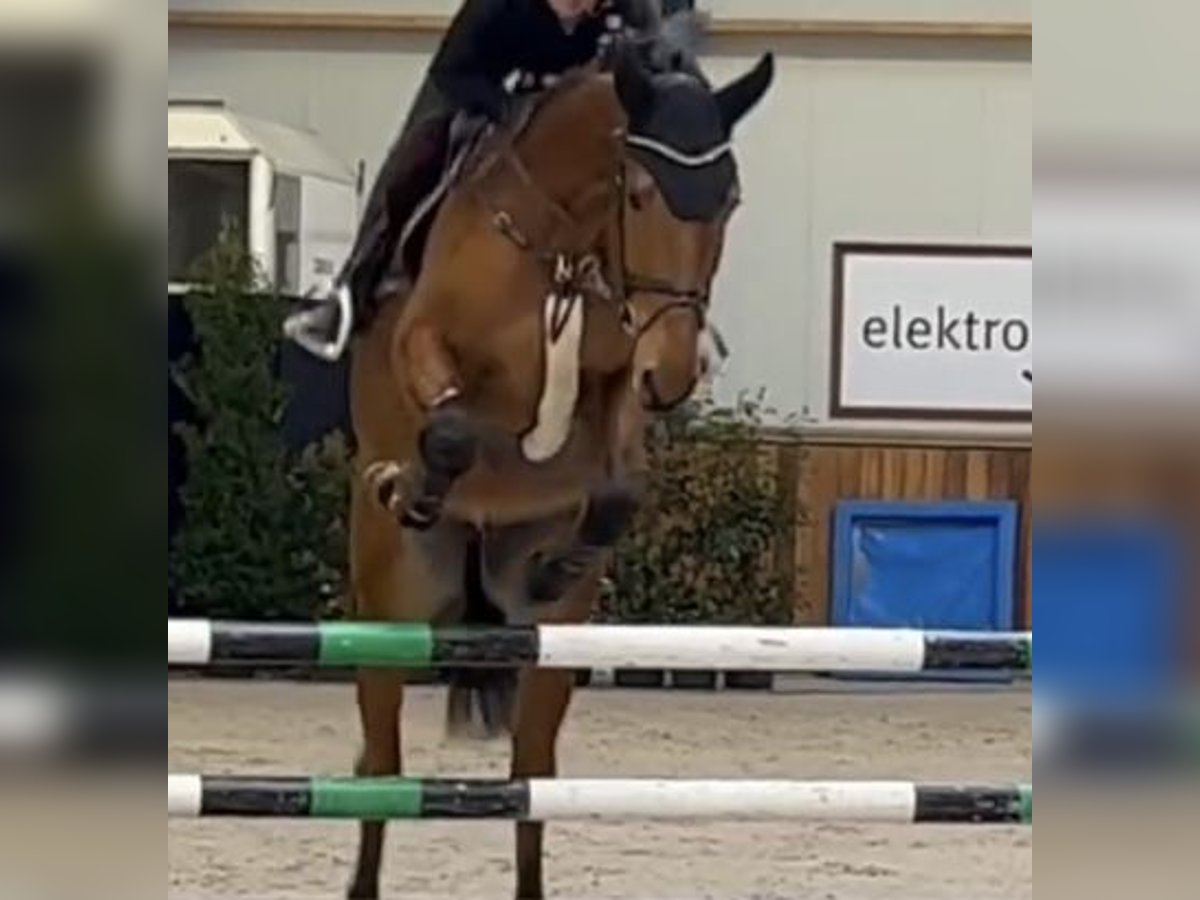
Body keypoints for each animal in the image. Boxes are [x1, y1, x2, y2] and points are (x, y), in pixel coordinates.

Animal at [343, 44, 772, 900]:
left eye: (731, 201)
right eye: (639, 194)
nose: (677, 374)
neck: (563, 243)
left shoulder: (619, 382)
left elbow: (617, 488)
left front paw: (561, 560)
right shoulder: (423, 342)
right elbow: (449, 433)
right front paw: (411, 485)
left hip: (548, 652)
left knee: (531, 776)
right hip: (390, 608)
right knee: (380, 765)